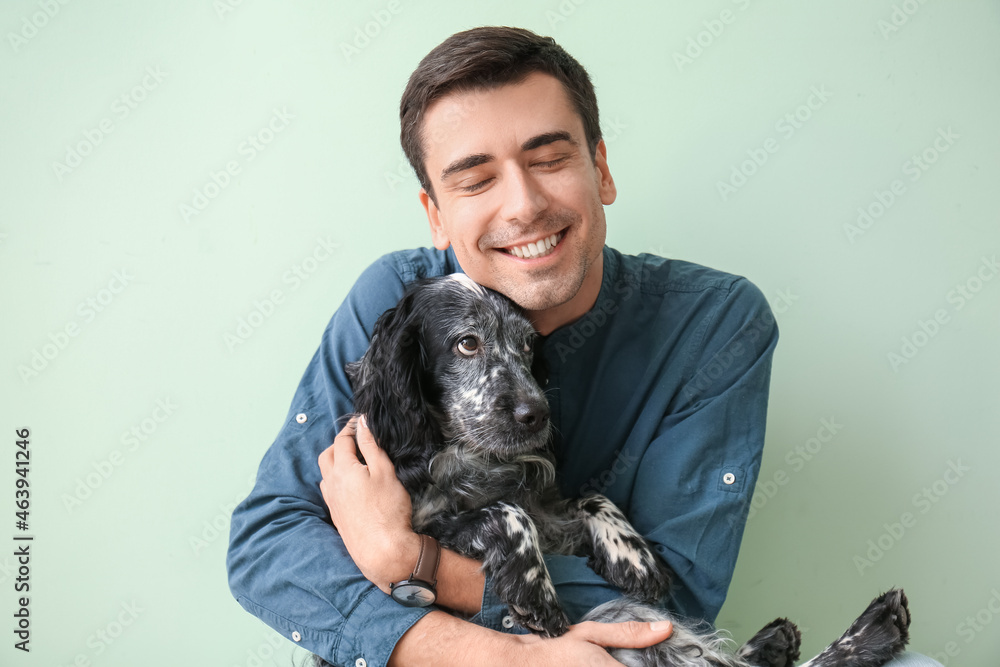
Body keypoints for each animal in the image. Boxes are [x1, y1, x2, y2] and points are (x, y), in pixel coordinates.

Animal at [318, 274, 908, 664]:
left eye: (527, 344)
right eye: (467, 343)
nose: (538, 414)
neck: (471, 456)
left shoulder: (551, 507)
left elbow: (591, 500)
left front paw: (635, 559)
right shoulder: (426, 522)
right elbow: (507, 514)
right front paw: (538, 593)